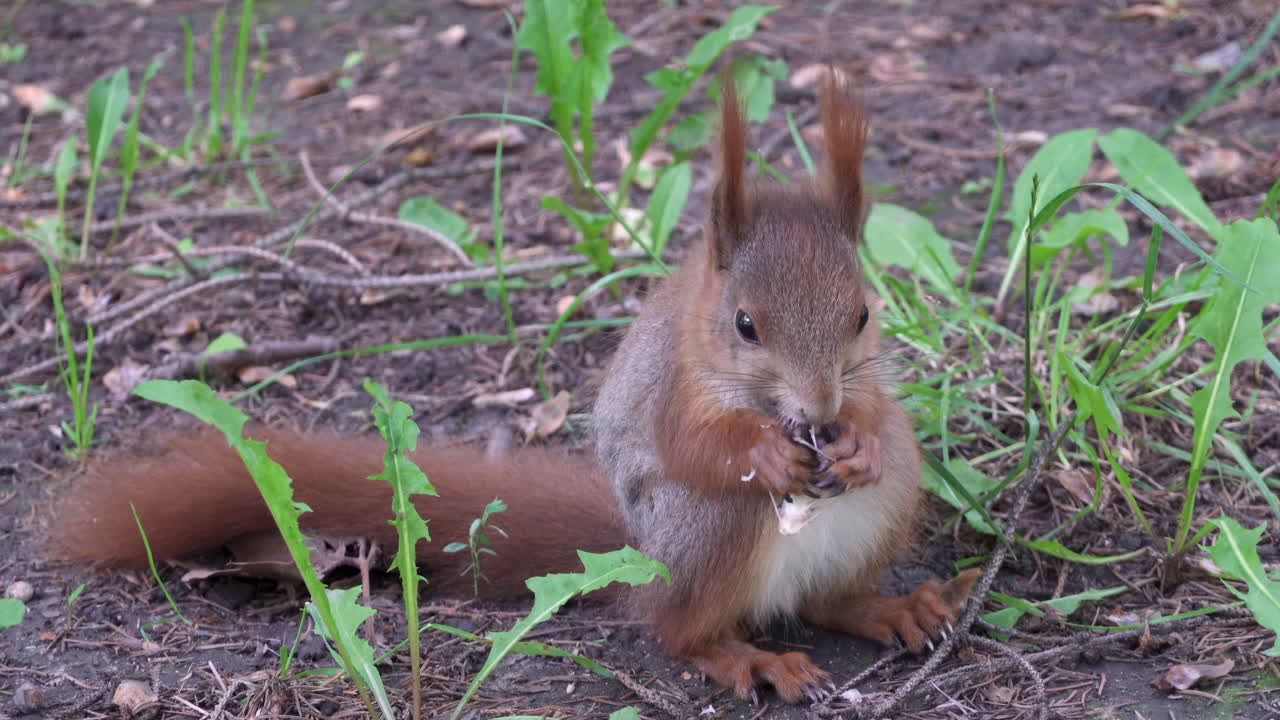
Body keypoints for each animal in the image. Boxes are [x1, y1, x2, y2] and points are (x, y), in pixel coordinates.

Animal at [47, 71, 979, 704]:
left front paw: (858, 439)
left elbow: (880, 413)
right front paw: (764, 452)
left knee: (829, 597)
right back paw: (747, 656)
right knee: (677, 628)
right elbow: (691, 444)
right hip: (707, 534)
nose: (819, 413)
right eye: (746, 326)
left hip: (888, 507)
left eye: (864, 314)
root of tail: (641, 555)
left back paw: (891, 608)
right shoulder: (676, 388)